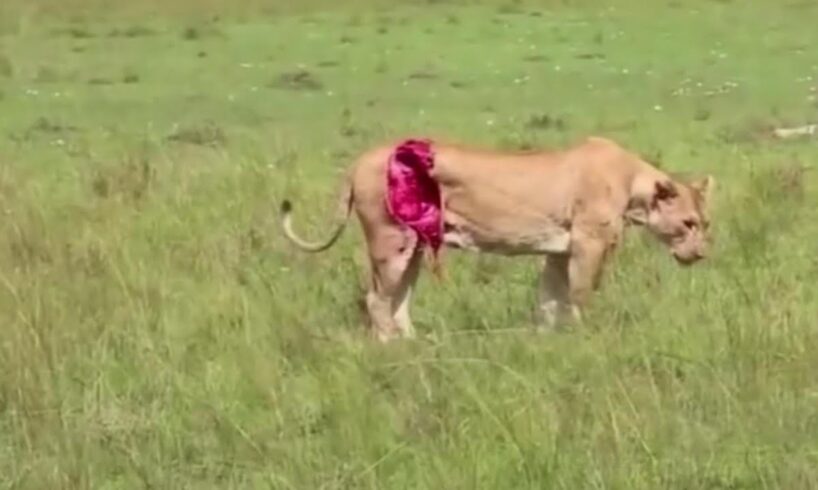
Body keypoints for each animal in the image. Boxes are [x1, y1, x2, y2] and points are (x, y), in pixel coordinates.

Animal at [280, 136, 714, 342]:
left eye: (705, 224)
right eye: (688, 223)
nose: (701, 254)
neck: (633, 182)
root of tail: (359, 162)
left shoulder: (560, 249)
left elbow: (550, 299)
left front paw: (547, 340)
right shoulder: (588, 244)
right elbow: (580, 296)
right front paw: (587, 337)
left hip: (414, 246)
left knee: (398, 298)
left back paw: (415, 345)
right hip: (392, 240)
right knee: (376, 299)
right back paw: (390, 348)